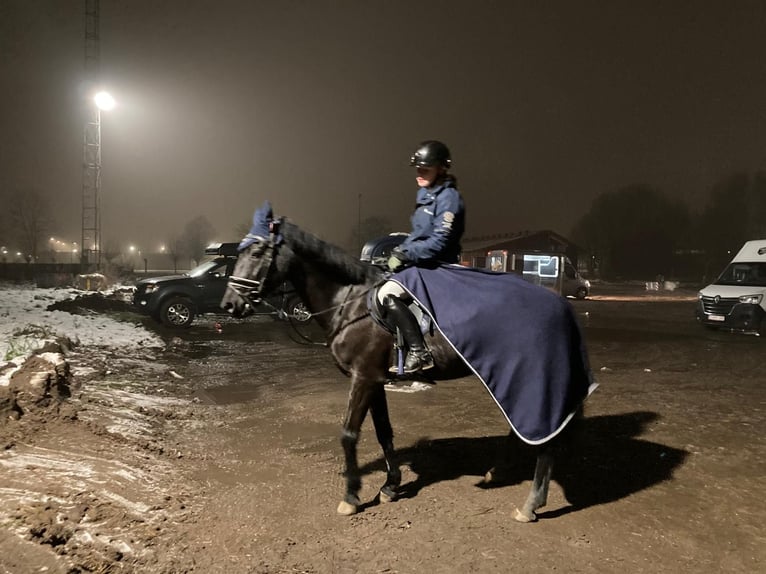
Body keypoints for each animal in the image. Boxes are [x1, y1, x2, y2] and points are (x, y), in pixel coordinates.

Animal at [222, 205, 592, 524]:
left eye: (256, 253)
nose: (229, 304)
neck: (350, 302)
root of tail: (558, 302)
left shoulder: (363, 378)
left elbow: (349, 434)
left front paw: (352, 496)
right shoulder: (375, 380)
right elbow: (384, 432)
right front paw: (390, 486)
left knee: (545, 442)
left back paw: (530, 505)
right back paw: (498, 473)